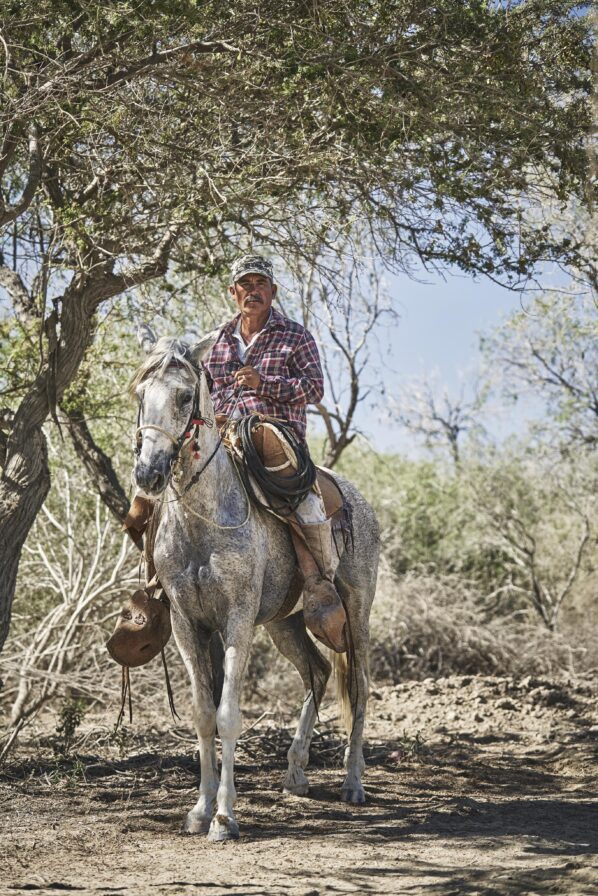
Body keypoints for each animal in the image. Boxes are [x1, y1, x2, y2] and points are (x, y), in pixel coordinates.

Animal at [131, 333, 379, 842]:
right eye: (140, 395)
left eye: (184, 397)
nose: (148, 474)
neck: (203, 521)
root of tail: (360, 502)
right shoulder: (187, 624)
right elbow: (203, 715)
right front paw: (200, 809)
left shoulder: (238, 619)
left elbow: (228, 715)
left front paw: (225, 816)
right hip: (286, 624)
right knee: (317, 673)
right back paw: (296, 771)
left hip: (357, 613)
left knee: (359, 688)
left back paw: (353, 782)